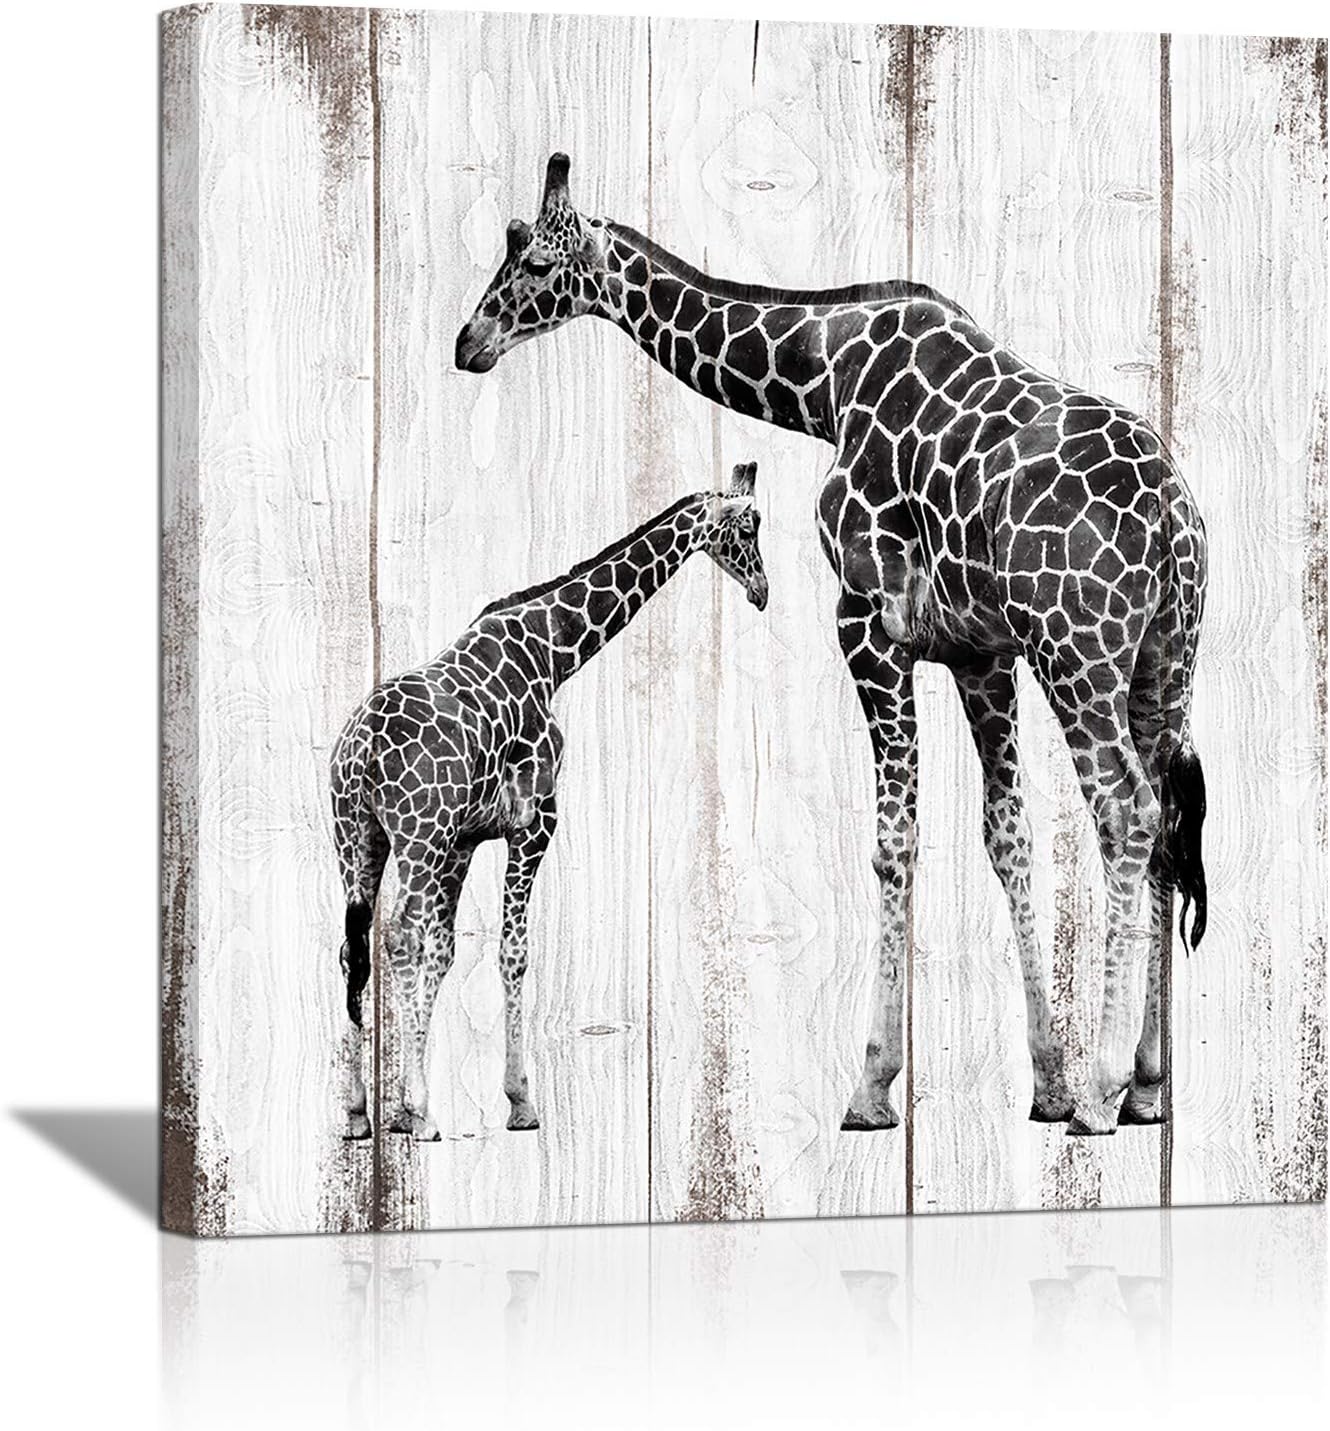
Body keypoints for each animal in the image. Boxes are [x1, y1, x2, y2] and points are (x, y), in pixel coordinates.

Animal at [331, 464, 768, 1140]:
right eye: (749, 527)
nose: (763, 590)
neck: (551, 650)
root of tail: (359, 753)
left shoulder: (463, 839)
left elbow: (447, 951)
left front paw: (409, 1104)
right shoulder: (535, 822)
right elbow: (510, 952)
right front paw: (512, 1102)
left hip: (359, 839)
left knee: (354, 945)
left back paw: (357, 1113)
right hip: (415, 836)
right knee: (398, 936)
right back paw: (417, 1113)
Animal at [455, 154, 1209, 1138]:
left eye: (537, 266)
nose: (467, 342)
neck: (821, 381)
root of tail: (1174, 517)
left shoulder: (866, 620)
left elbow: (894, 838)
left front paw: (874, 1083)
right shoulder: (980, 653)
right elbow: (1006, 835)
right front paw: (1044, 1079)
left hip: (1078, 654)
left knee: (1126, 812)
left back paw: (1105, 1086)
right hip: (1164, 661)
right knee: (1163, 818)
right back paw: (1150, 1081)